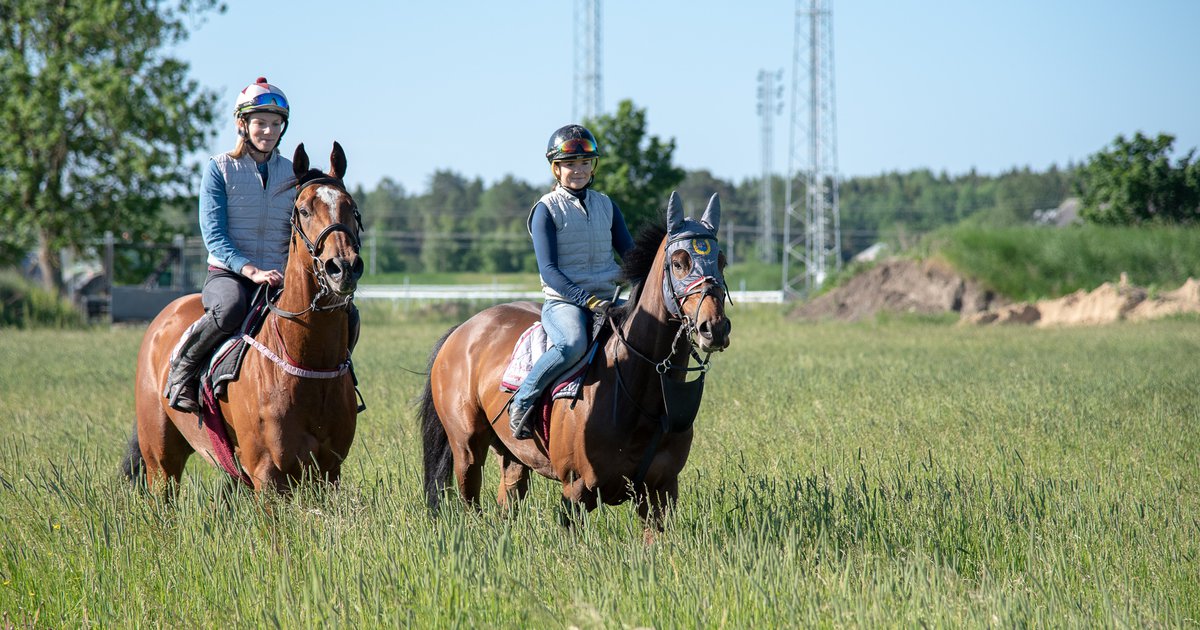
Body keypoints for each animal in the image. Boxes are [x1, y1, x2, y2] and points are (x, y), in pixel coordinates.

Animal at [122, 142, 367, 492]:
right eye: (304, 210)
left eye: (351, 207)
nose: (343, 267)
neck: (307, 362)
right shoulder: (268, 474)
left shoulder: (328, 472)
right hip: (160, 459)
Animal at [417, 192, 734, 535]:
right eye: (678, 263)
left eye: (721, 261)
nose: (714, 327)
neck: (636, 389)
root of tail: (461, 330)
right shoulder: (575, 491)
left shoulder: (661, 491)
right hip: (467, 448)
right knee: (470, 501)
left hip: (513, 456)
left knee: (508, 500)